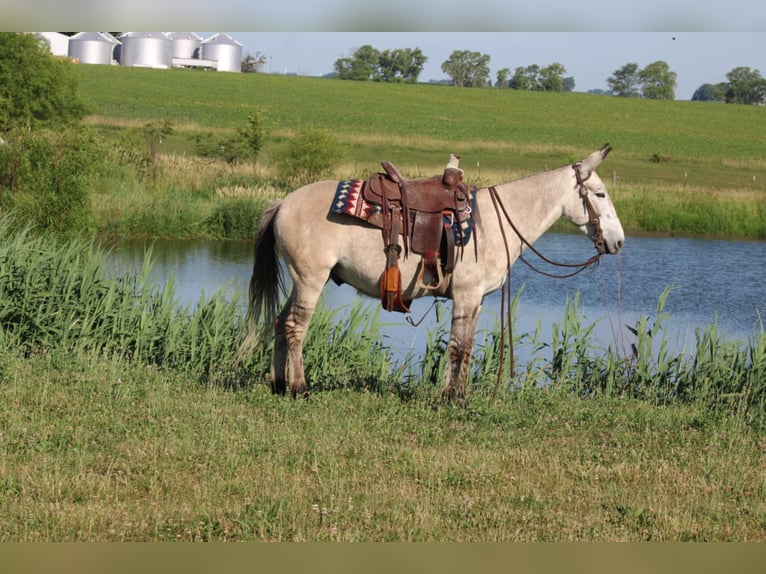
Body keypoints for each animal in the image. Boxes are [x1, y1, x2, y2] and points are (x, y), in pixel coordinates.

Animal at [236, 144, 625, 406]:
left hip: (300, 280)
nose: (619, 241)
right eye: (600, 193)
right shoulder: (466, 295)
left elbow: (464, 346)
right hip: (310, 279)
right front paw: (455, 399)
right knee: (295, 327)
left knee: (280, 322)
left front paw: (455, 394)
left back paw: (278, 384)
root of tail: (282, 203)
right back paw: (300, 388)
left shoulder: (475, 299)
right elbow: (458, 347)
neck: (492, 223)